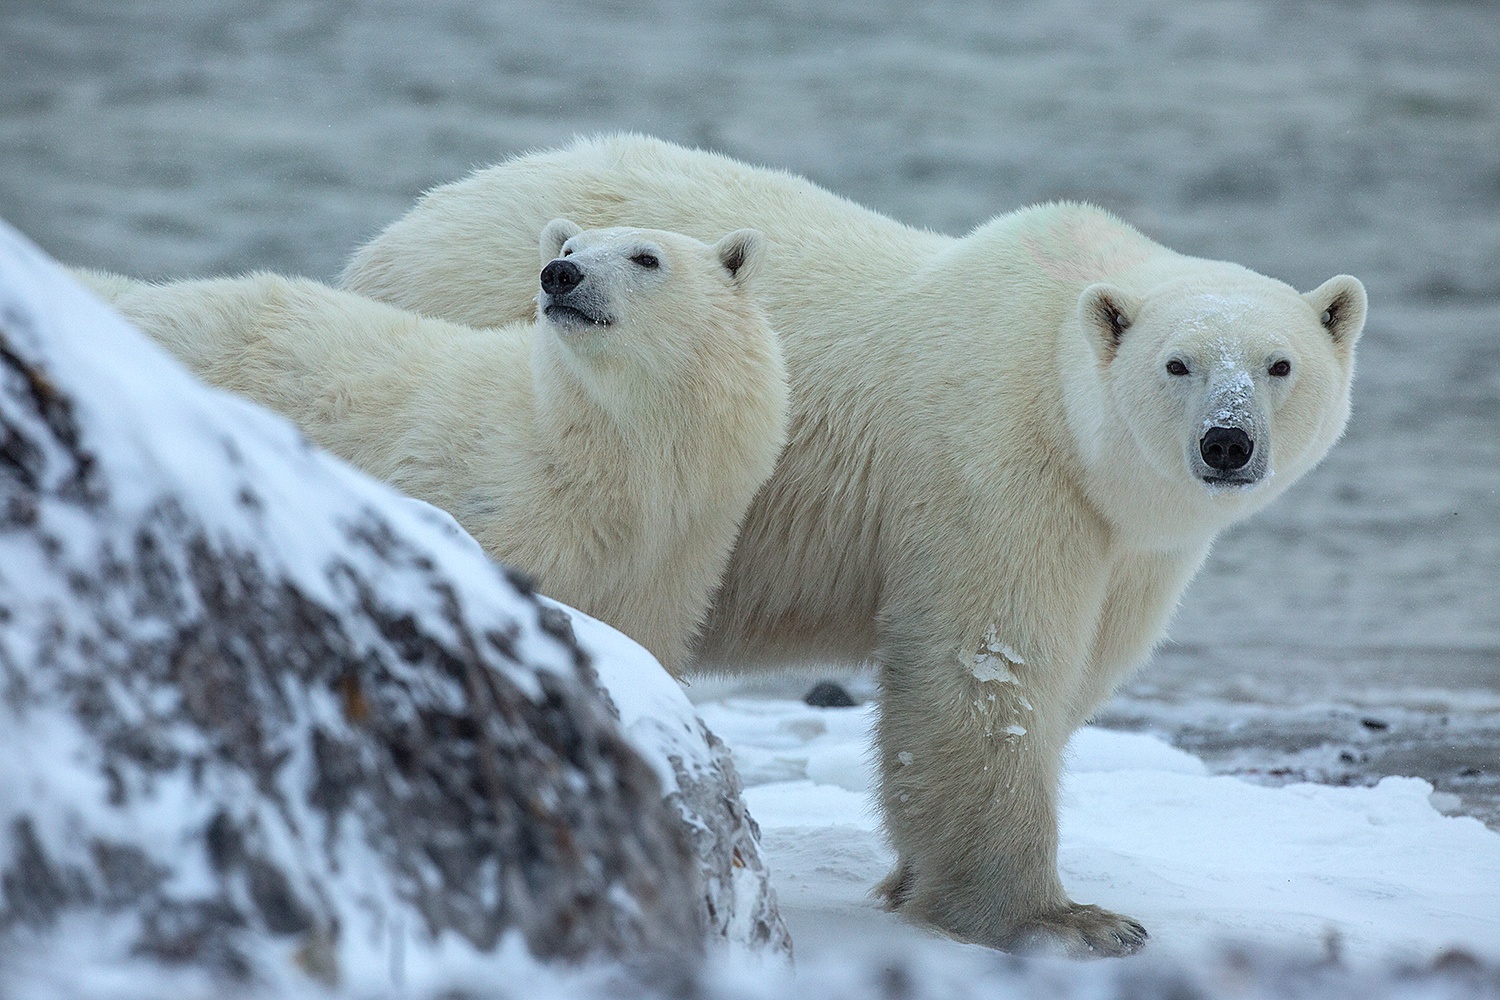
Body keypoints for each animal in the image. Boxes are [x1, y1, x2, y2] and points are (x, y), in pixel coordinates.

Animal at [76, 217, 792, 671]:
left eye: (647, 257)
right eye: (574, 242)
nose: (558, 273)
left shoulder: (678, 550)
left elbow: (643, 632)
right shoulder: (508, 501)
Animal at [343, 137, 1374, 959]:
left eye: (1279, 364)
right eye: (1178, 364)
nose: (1227, 444)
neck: (1059, 378)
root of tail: (389, 240)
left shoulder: (1130, 541)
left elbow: (1077, 673)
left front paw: (916, 880)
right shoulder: (996, 461)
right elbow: (986, 669)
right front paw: (1059, 919)